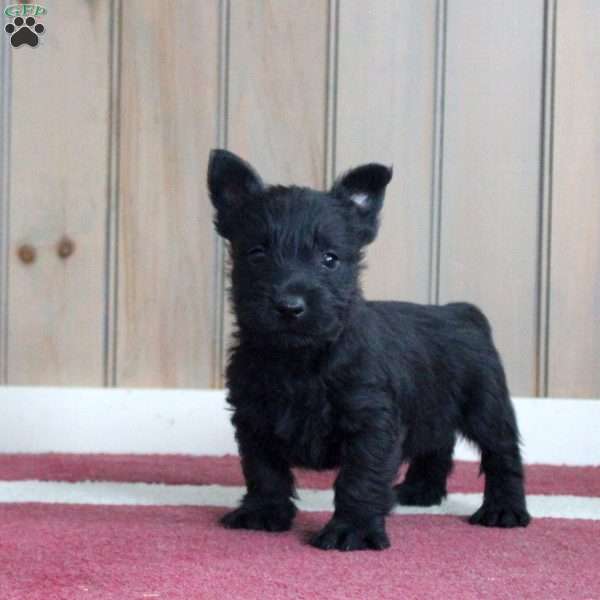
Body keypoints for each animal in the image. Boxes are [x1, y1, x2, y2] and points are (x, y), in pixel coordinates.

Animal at [207, 151, 528, 552]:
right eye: (256, 254)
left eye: (330, 258)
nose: (289, 306)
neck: (299, 358)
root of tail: (461, 310)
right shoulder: (254, 418)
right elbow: (263, 469)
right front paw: (262, 512)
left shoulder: (371, 422)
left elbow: (359, 478)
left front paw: (353, 530)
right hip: (432, 408)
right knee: (437, 444)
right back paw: (420, 490)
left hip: (485, 405)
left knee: (502, 452)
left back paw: (504, 509)